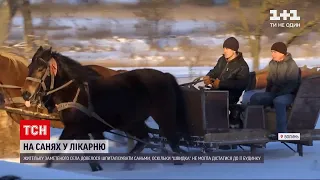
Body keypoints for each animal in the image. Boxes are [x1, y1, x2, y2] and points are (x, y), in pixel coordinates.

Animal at [21, 47, 191, 171]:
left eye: (41, 68)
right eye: (29, 67)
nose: (25, 94)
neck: (74, 92)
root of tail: (166, 75)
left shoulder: (73, 128)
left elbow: (57, 151)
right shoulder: (80, 130)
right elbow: (86, 153)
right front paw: (97, 168)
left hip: (161, 116)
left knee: (169, 141)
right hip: (133, 121)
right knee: (146, 139)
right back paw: (129, 163)